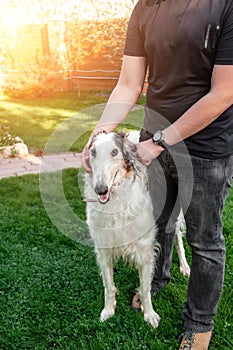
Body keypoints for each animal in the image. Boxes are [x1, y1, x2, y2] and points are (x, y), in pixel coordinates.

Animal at [83, 131, 189, 328]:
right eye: (92, 152)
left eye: (115, 152)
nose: (100, 190)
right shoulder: (103, 248)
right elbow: (109, 286)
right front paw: (108, 310)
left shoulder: (146, 250)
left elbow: (146, 289)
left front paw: (149, 314)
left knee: (178, 239)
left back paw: (185, 267)